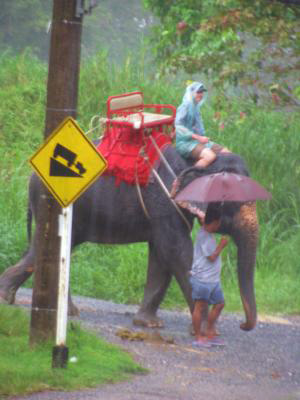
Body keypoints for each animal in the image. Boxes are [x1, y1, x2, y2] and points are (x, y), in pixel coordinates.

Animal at [0, 147, 258, 332]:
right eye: (230, 201)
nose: (243, 325)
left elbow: (161, 253)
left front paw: (149, 324)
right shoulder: (164, 201)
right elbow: (175, 250)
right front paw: (204, 328)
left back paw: (60, 309)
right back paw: (7, 298)